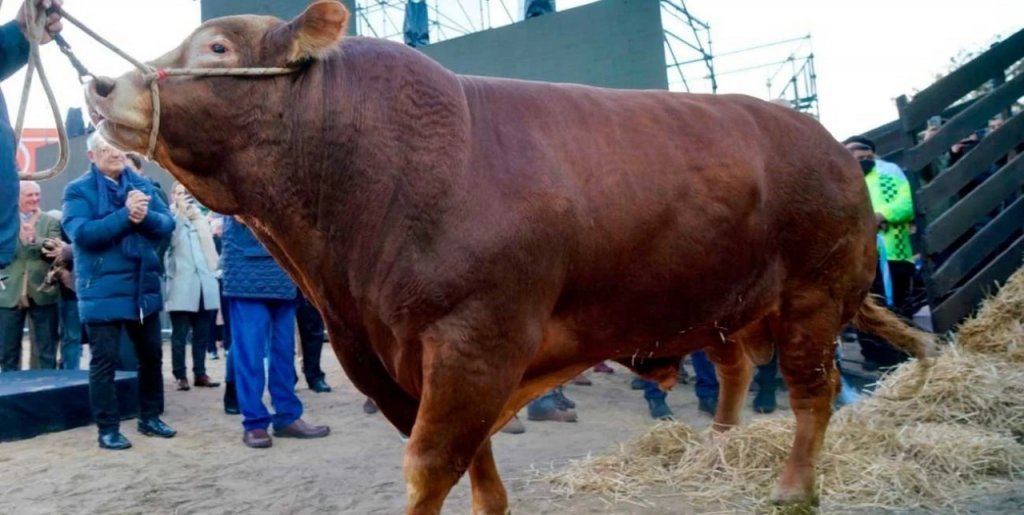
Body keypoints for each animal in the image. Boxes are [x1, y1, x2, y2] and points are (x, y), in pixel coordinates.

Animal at [83, 2, 933, 513]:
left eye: (217, 45)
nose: (98, 82)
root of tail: (824, 142)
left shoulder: (475, 340)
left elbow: (433, 463)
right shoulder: (391, 355)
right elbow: (476, 466)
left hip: (814, 293)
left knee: (812, 392)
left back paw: (791, 486)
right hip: (719, 302)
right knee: (733, 369)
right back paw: (717, 446)